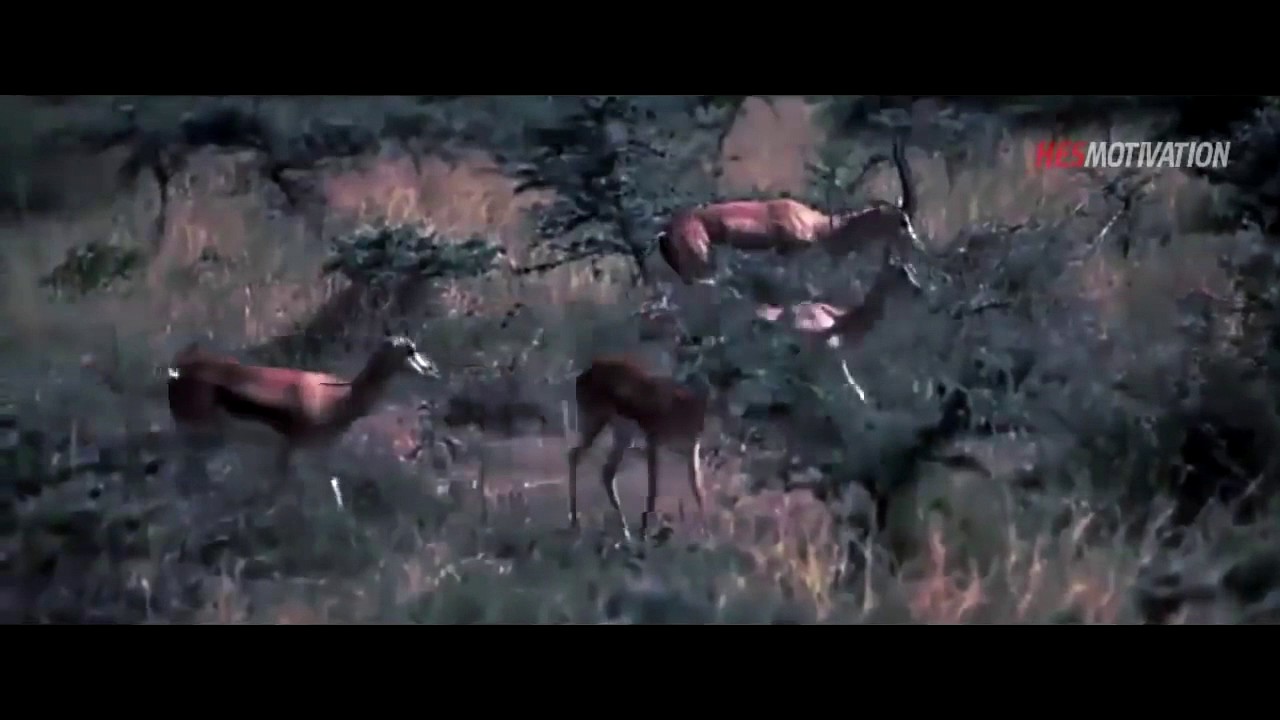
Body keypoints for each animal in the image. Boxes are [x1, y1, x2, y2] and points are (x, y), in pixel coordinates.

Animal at [166, 335, 439, 498]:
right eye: (409, 350)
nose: (432, 369)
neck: (338, 399)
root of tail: (177, 369)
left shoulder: (315, 454)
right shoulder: (290, 451)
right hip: (193, 433)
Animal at [567, 355, 712, 542]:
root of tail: (587, 373)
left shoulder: (691, 451)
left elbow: (698, 490)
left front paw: (707, 535)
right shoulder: (653, 442)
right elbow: (653, 489)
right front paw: (645, 532)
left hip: (621, 434)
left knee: (601, 469)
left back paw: (622, 531)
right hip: (599, 423)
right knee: (579, 457)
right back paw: (577, 521)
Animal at [657, 136, 921, 285]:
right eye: (903, 221)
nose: (916, 246)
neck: (820, 226)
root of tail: (667, 231)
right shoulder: (788, 253)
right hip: (699, 261)